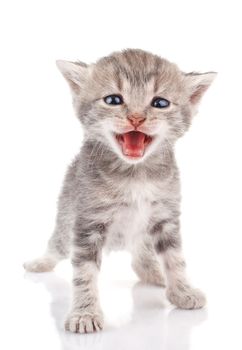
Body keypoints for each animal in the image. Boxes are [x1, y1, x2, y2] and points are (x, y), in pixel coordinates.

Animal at [24, 49, 216, 334]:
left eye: (160, 103)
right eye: (113, 100)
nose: (136, 118)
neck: (135, 174)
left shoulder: (165, 216)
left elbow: (175, 258)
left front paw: (182, 291)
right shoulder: (88, 222)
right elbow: (84, 272)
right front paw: (85, 313)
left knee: (140, 258)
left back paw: (155, 273)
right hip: (66, 218)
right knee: (57, 245)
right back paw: (39, 262)